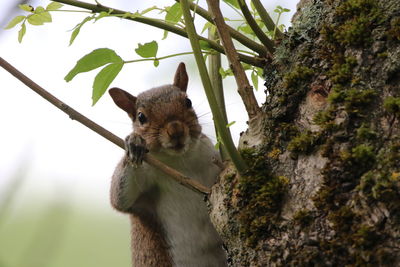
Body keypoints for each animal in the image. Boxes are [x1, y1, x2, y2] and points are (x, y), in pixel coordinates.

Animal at [108, 63, 228, 267]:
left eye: (188, 102)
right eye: (141, 117)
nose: (176, 130)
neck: (180, 162)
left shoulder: (212, 158)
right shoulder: (141, 196)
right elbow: (119, 198)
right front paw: (134, 143)